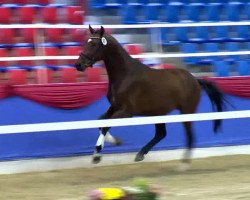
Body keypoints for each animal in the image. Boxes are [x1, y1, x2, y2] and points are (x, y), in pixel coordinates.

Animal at [74, 25, 225, 166]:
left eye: (93, 44)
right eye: (86, 42)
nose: (78, 65)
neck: (125, 75)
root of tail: (196, 80)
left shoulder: (127, 111)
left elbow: (106, 125)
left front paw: (97, 155)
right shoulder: (115, 106)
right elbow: (101, 121)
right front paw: (115, 142)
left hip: (186, 112)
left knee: (189, 137)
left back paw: (184, 165)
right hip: (159, 113)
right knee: (161, 134)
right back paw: (140, 154)